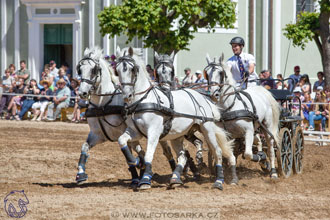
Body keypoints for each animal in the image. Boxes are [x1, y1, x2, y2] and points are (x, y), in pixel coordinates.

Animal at [116, 46, 235, 191]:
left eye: (132, 69)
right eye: (117, 70)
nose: (127, 95)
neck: (143, 100)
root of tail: (204, 98)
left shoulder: (154, 132)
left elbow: (149, 153)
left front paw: (145, 179)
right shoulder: (135, 131)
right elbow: (122, 140)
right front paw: (135, 161)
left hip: (207, 129)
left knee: (217, 151)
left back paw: (218, 181)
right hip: (177, 135)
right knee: (182, 155)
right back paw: (175, 179)